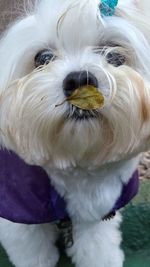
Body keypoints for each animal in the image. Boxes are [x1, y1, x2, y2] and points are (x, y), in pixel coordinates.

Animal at [0, 0, 150, 267]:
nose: (80, 80)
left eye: (115, 55)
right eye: (43, 58)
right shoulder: (17, 206)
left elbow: (96, 243)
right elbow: (31, 248)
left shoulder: (99, 205)